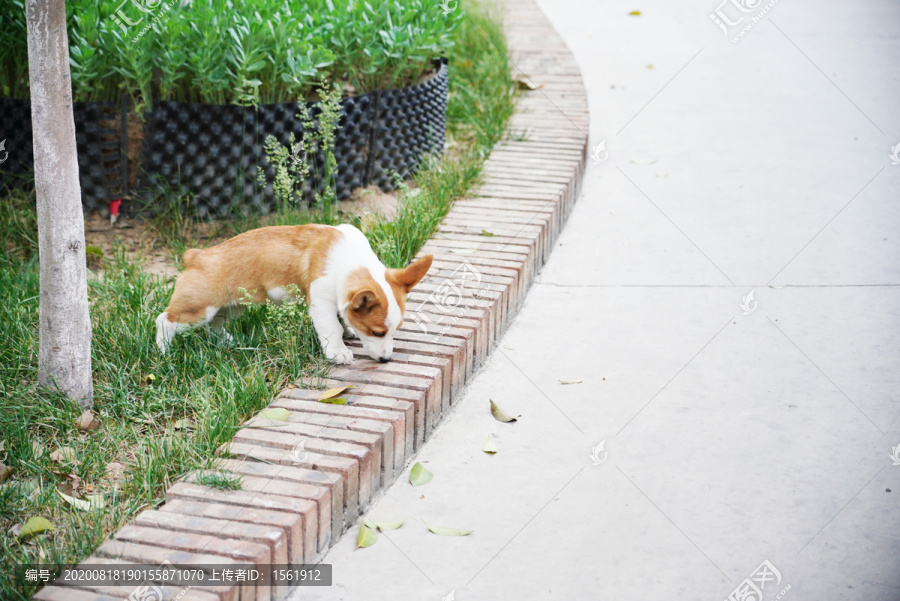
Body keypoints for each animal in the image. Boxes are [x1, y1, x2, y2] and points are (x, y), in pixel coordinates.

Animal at [155, 224, 432, 364]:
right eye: (377, 333)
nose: (386, 360)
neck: (351, 261)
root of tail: (196, 256)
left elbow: (343, 315)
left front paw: (349, 329)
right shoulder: (320, 300)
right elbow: (331, 327)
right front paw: (338, 352)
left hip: (231, 307)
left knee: (215, 325)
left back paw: (227, 342)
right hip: (198, 310)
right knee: (165, 320)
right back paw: (163, 351)